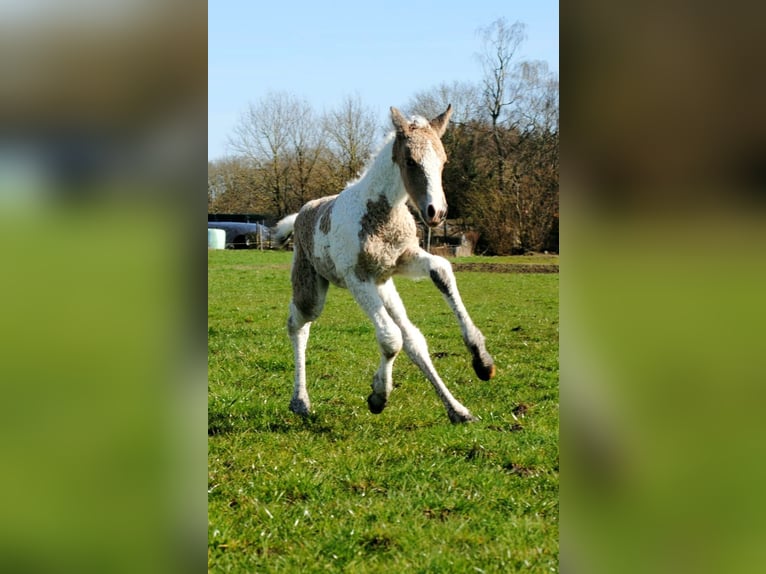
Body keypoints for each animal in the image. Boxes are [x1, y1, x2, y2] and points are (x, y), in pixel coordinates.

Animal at [274, 105, 495, 423]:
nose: (436, 212)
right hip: (312, 289)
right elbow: (390, 339)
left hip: (385, 286)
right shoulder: (357, 278)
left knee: (414, 338)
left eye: (443, 160)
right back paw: (300, 401)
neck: (381, 214)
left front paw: (482, 361)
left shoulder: (403, 260)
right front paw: (378, 396)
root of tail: (302, 213)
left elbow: (441, 269)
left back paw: (457, 410)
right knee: (298, 325)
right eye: (410, 161)